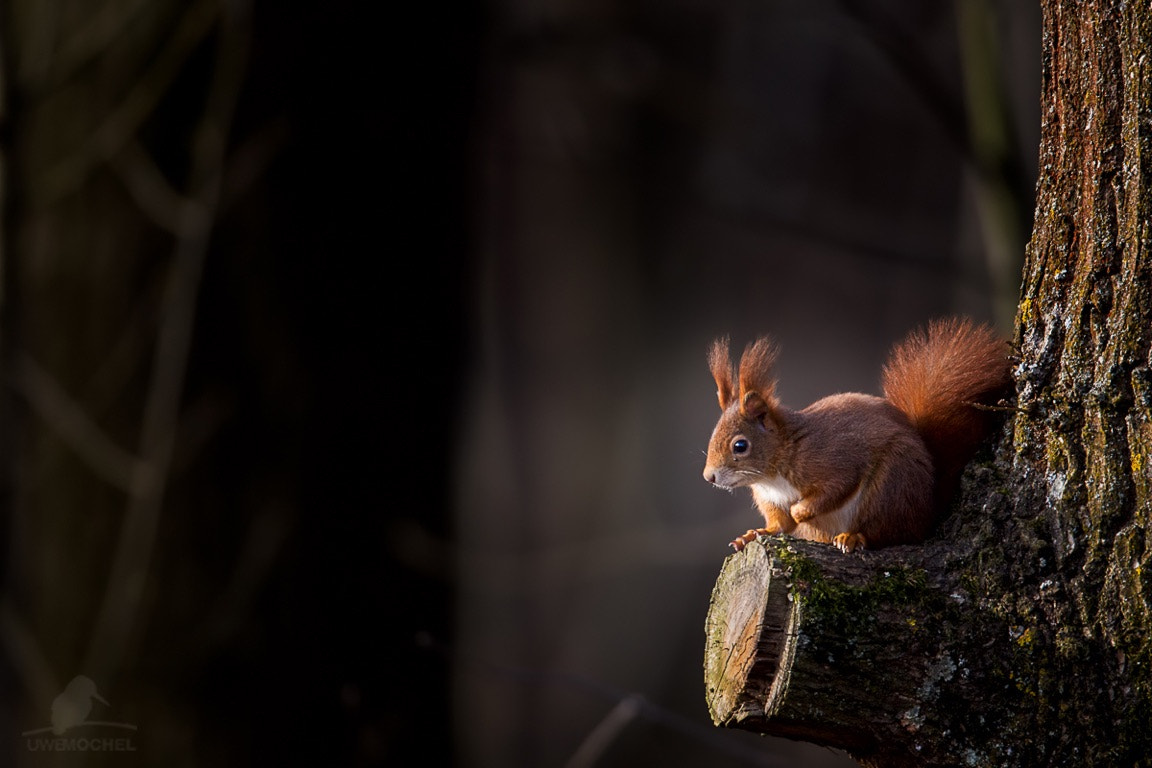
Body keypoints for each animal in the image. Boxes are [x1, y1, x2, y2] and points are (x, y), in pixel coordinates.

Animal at [700, 317, 1009, 552]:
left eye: (740, 446)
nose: (708, 477)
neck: (775, 471)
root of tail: (929, 508)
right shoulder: (771, 500)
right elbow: (780, 526)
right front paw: (753, 534)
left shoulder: (833, 461)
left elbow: (835, 488)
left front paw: (800, 511)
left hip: (891, 486)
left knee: (891, 533)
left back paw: (854, 537)